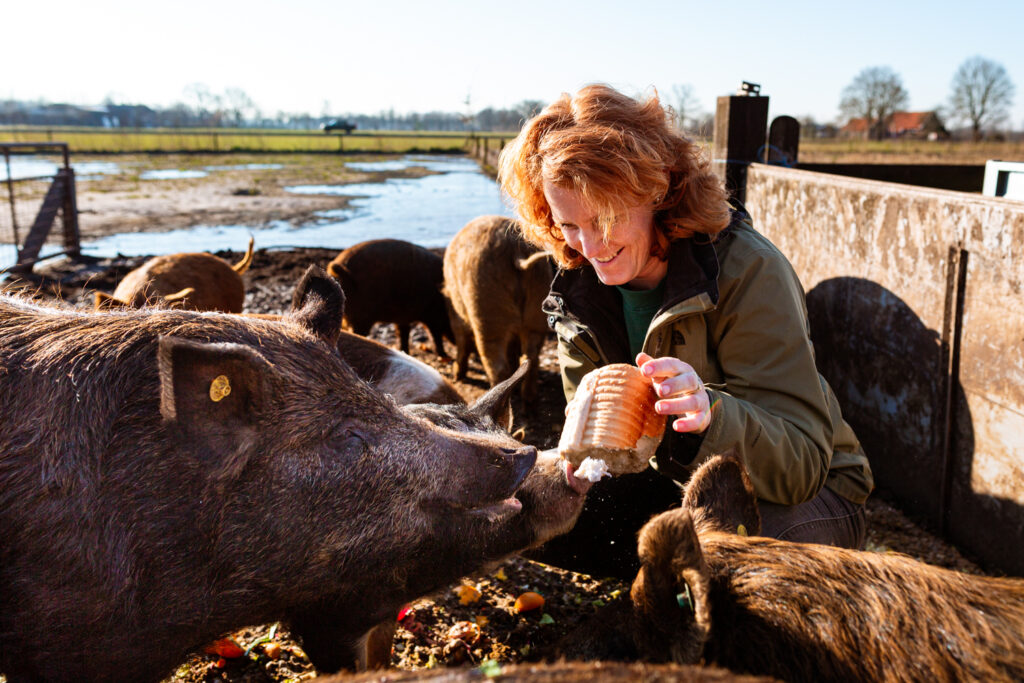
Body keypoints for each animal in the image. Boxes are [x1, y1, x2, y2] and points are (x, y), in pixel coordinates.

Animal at [325, 237, 454, 358]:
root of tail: (338, 268)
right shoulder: (432, 314)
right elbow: (435, 335)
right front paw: (444, 356)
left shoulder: (404, 316)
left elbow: (403, 333)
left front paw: (405, 352)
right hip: (359, 317)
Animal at [442, 216, 552, 403]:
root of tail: (516, 252)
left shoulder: (457, 316)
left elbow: (462, 341)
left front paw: (457, 376)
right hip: (537, 310)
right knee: (531, 356)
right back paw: (529, 398)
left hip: (486, 309)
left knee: (497, 363)